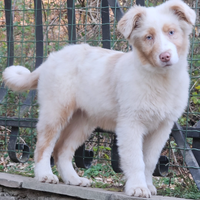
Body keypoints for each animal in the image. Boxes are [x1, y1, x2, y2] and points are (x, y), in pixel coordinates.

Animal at [2, 0, 195, 197]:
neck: (160, 79)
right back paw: (44, 175)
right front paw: (137, 187)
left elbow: (149, 161)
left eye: (171, 32)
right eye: (148, 37)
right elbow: (135, 160)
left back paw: (73, 179)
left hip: (82, 121)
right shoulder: (130, 123)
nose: (165, 56)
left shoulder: (163, 127)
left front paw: (147, 186)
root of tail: (52, 58)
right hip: (55, 111)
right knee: (44, 145)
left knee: (62, 150)